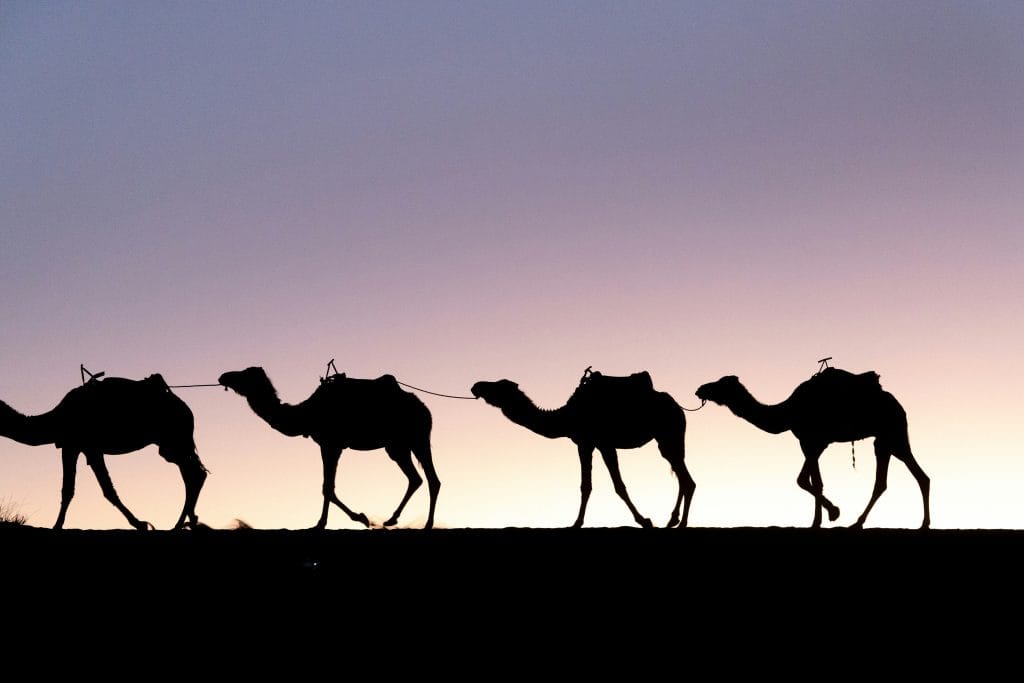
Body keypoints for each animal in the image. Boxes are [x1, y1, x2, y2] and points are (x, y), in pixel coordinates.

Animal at [0, 373, 208, 530]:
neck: (55, 419)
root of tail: (186, 408)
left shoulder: (82, 447)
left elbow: (96, 489)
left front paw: (140, 524)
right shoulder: (79, 448)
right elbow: (79, 489)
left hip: (173, 439)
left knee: (194, 473)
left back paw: (180, 524)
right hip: (171, 444)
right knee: (193, 474)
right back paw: (188, 522)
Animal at [219, 366, 439, 529]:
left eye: (245, 374)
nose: (224, 376)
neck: (306, 414)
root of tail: (424, 408)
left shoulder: (330, 444)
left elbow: (327, 487)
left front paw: (346, 520)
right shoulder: (330, 445)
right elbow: (328, 487)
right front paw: (340, 520)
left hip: (417, 437)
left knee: (432, 479)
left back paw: (428, 524)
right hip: (396, 446)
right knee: (416, 478)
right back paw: (392, 519)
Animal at [471, 368, 695, 528]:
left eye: (499, 386)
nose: (476, 386)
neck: (566, 416)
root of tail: (678, 406)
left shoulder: (603, 443)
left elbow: (618, 485)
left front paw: (644, 521)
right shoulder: (585, 444)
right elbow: (586, 485)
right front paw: (576, 523)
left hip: (669, 433)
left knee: (686, 478)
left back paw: (681, 523)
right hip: (668, 439)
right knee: (681, 474)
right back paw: (673, 521)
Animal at [695, 368, 930, 529]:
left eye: (720, 384)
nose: (700, 389)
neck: (787, 411)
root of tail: (899, 406)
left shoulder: (814, 441)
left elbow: (804, 480)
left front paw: (830, 514)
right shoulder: (810, 443)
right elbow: (814, 481)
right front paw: (822, 518)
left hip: (892, 433)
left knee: (900, 477)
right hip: (886, 440)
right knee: (903, 478)